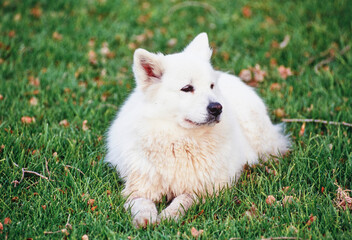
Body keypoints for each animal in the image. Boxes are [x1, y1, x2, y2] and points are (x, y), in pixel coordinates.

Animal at [106, 32, 290, 228]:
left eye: (211, 86)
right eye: (187, 88)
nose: (217, 108)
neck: (180, 141)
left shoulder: (204, 188)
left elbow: (184, 199)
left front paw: (168, 215)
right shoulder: (140, 186)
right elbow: (142, 203)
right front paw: (145, 219)